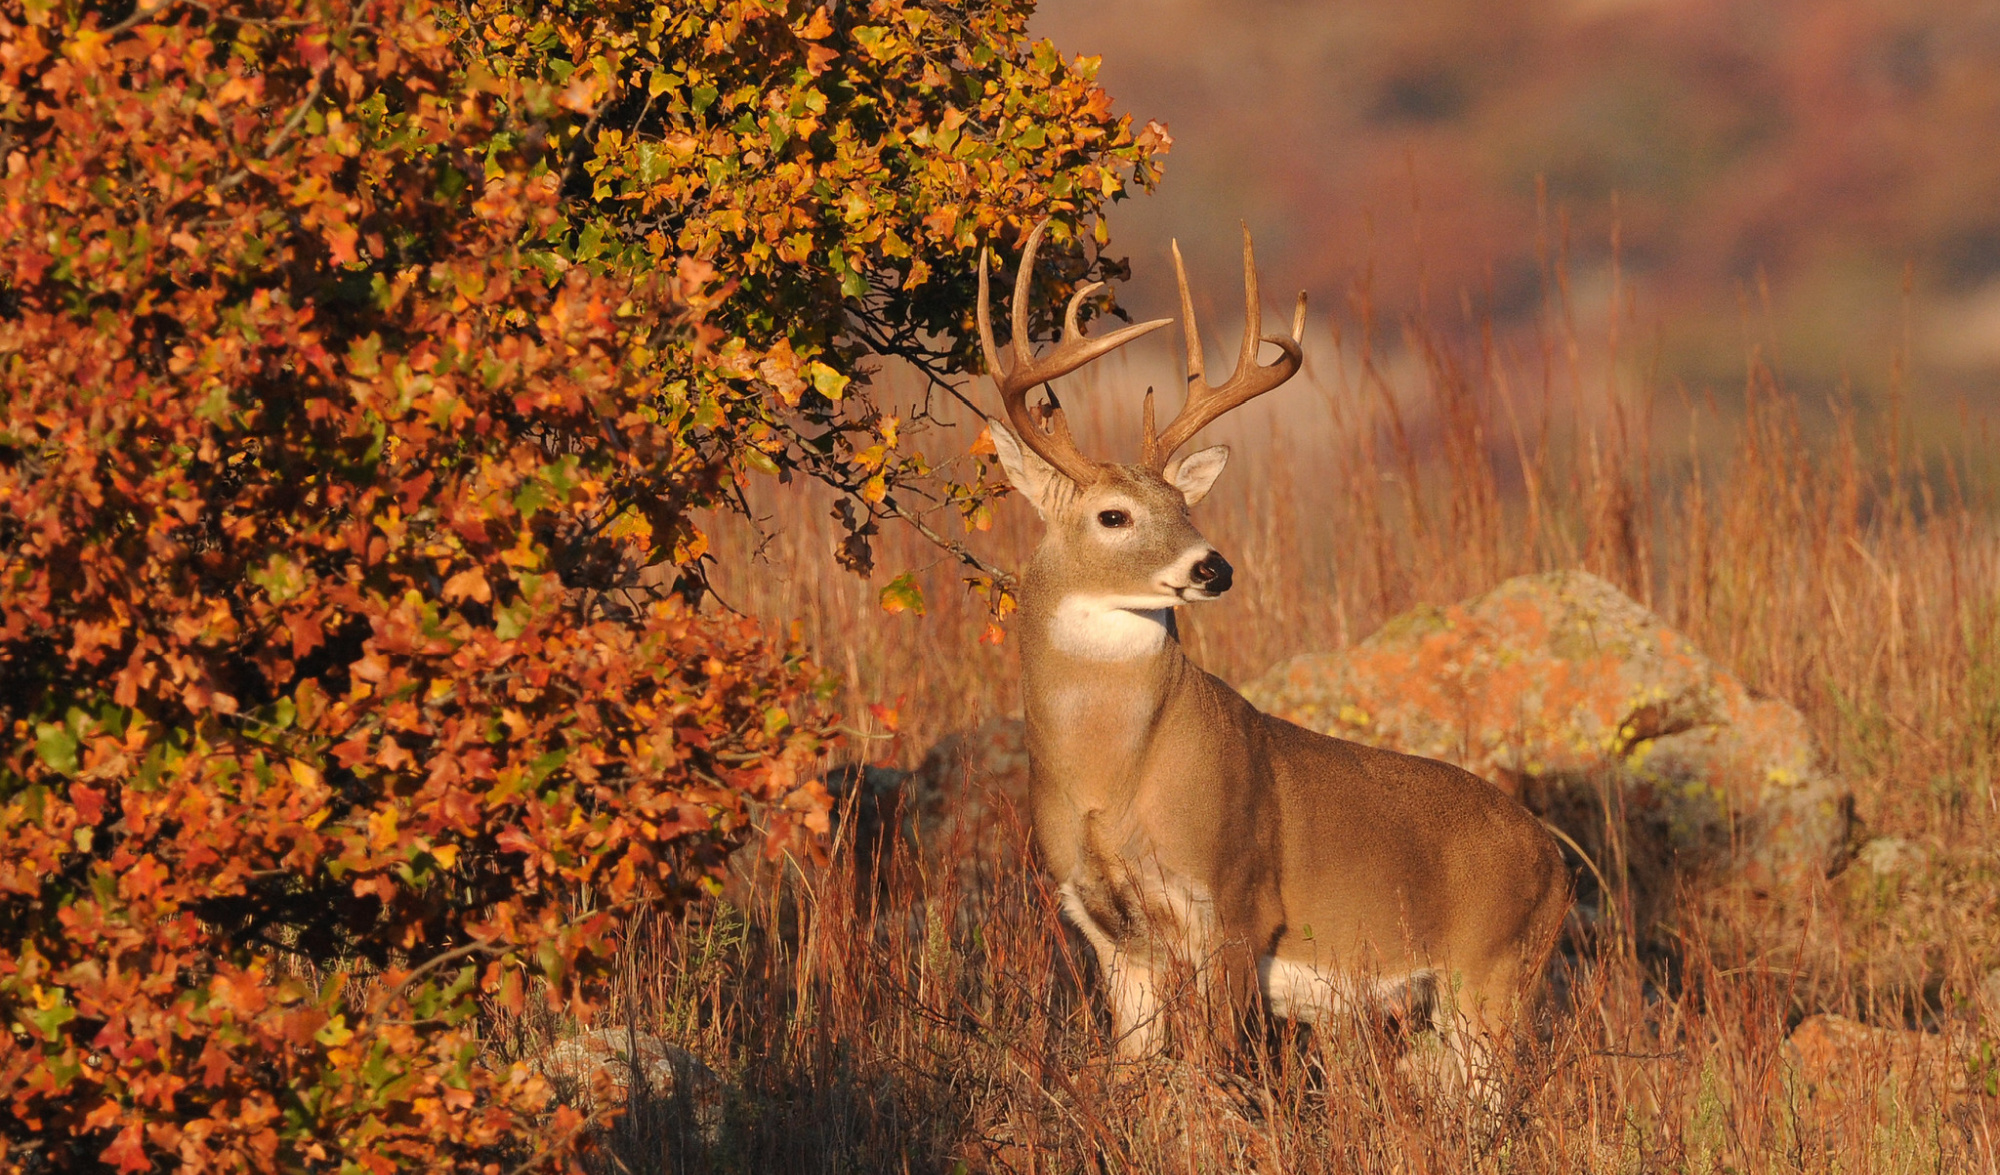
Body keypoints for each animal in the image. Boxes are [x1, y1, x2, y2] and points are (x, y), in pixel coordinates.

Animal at [976, 219, 1568, 1095]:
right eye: (1114, 515)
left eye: (1185, 506)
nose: (1212, 567)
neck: (1109, 780)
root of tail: (1557, 862)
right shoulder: (1109, 932)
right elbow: (1135, 1071)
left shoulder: (1235, 899)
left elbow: (1216, 1066)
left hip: (1492, 976)